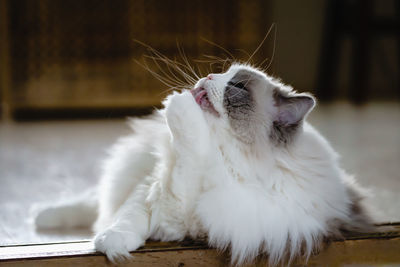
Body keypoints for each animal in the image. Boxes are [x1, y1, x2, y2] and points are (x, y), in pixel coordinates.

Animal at [35, 62, 372, 266]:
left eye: (236, 86)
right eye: (222, 72)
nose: (208, 77)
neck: (226, 155)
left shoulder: (184, 217)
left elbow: (185, 161)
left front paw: (179, 103)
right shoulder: (151, 185)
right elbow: (128, 218)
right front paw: (111, 244)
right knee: (94, 203)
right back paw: (41, 217)